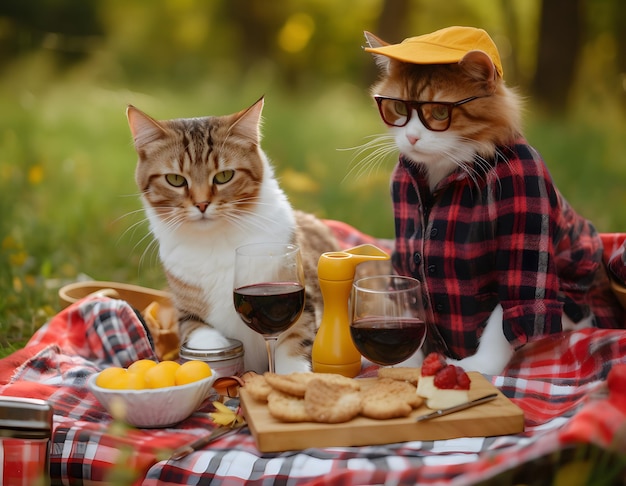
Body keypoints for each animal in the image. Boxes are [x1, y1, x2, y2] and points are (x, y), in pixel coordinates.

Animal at [360, 27, 620, 376]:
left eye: (439, 113)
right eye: (399, 109)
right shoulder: (406, 239)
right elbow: (408, 298)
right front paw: (405, 360)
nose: (412, 138)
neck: (448, 170)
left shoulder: (525, 228)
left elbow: (511, 310)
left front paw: (478, 366)